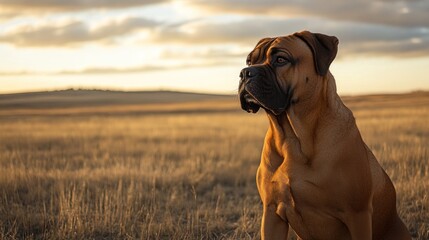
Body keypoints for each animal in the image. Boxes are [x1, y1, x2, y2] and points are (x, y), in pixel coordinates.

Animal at [239, 31, 410, 239]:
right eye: (249, 61)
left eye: (280, 59)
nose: (245, 72)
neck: (293, 138)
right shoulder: (272, 214)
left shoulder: (358, 214)